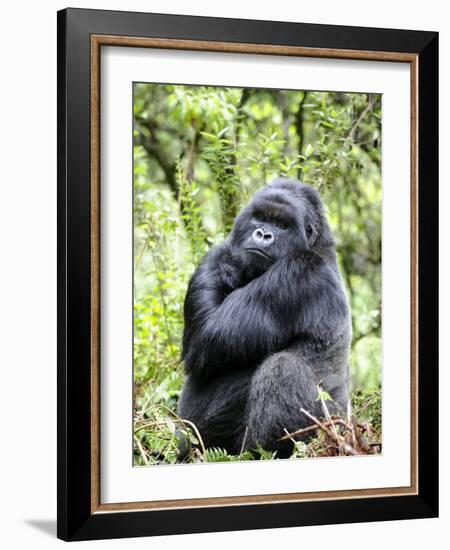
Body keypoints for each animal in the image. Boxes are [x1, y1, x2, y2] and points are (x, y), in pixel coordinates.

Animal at [177, 179, 352, 460]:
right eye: (260, 218)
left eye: (282, 225)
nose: (262, 234)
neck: (317, 245)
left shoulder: (298, 271)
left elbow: (205, 337)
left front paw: (226, 263)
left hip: (329, 430)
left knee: (282, 368)